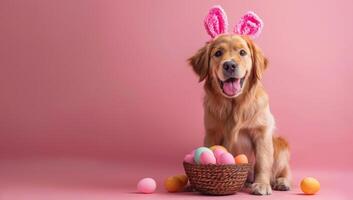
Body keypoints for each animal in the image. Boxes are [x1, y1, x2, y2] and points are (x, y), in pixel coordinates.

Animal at [188, 34, 290, 195]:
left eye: (242, 52)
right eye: (218, 53)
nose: (229, 65)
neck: (234, 106)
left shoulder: (261, 132)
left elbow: (262, 162)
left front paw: (261, 184)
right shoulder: (211, 133)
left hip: (281, 145)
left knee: (285, 173)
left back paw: (281, 182)